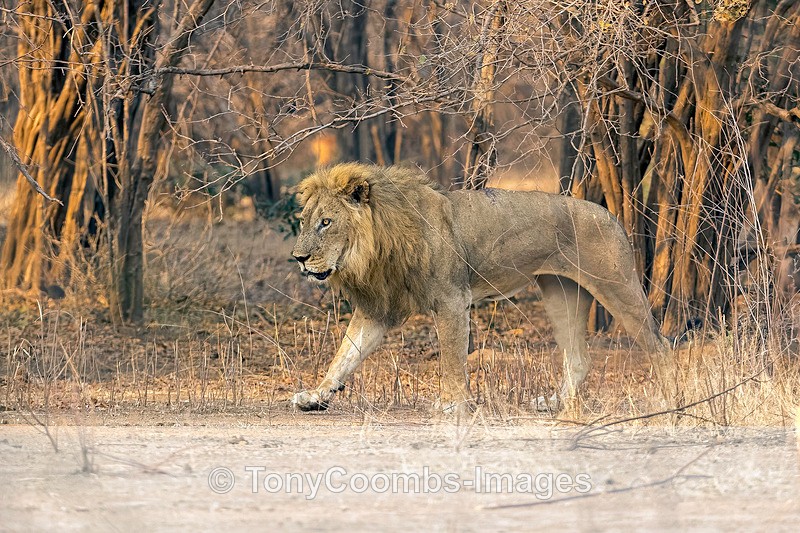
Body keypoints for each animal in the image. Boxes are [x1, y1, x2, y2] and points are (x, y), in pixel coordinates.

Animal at [290, 163, 675, 413]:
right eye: (305, 222)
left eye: (326, 222)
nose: (298, 258)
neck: (377, 245)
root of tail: (611, 215)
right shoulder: (377, 308)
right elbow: (345, 354)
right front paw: (316, 395)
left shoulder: (451, 299)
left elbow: (452, 357)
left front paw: (452, 403)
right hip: (560, 294)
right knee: (579, 359)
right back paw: (553, 404)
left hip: (617, 287)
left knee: (661, 345)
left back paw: (669, 398)